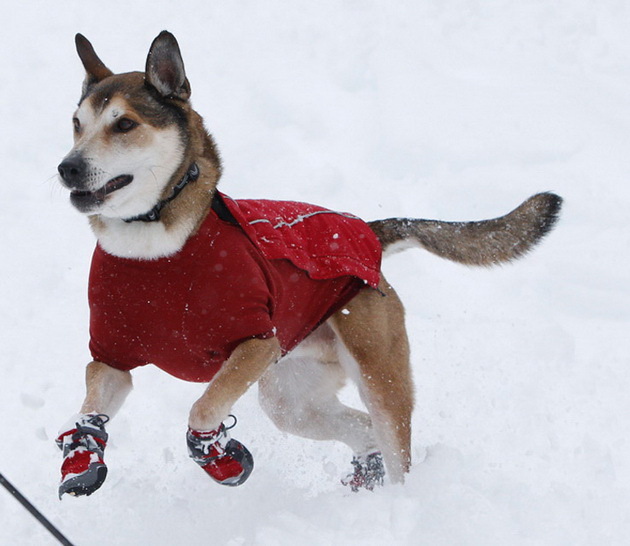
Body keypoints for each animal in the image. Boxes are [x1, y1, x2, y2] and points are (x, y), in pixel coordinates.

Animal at [56, 30, 564, 498]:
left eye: (125, 124)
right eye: (77, 123)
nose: (68, 168)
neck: (156, 249)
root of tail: (369, 233)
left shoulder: (257, 344)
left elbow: (202, 408)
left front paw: (215, 454)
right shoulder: (112, 356)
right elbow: (90, 408)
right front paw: (83, 454)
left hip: (373, 369)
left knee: (393, 442)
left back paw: (398, 501)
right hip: (291, 395)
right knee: (359, 428)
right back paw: (367, 475)